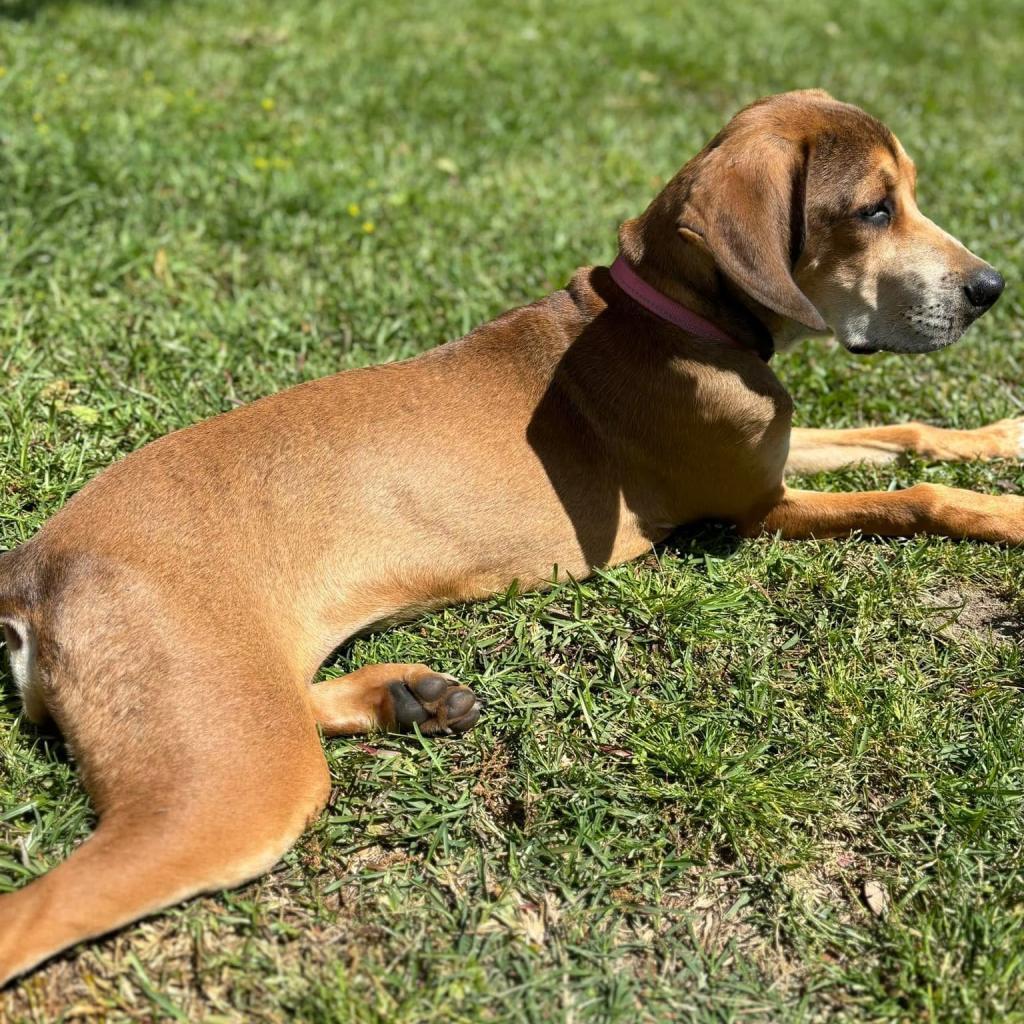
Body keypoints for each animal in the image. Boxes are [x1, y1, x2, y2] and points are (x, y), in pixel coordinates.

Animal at [0, 90, 1011, 983]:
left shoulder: (778, 457)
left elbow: (901, 434)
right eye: (874, 209)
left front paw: (1004, 437)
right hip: (229, 782)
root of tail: (35, 564)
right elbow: (915, 495)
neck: (673, 314)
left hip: (236, 706)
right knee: (39, 910)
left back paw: (407, 698)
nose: (990, 289)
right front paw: (1007, 513)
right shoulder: (756, 510)